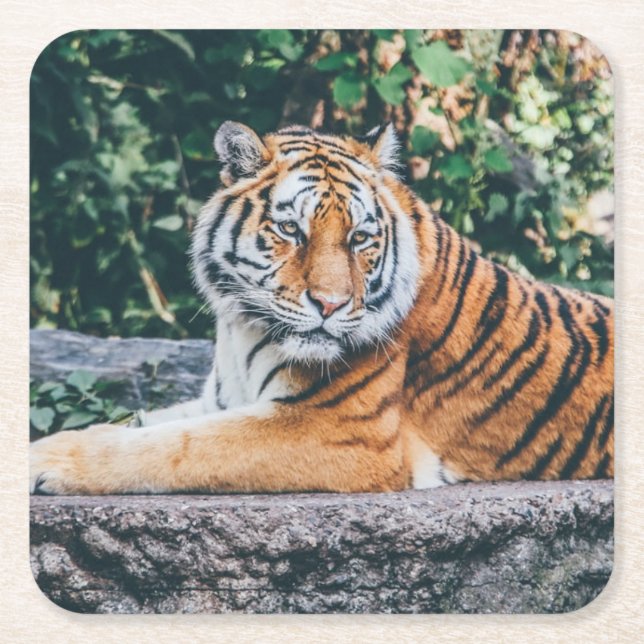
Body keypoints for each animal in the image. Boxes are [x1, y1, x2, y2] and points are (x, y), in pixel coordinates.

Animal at [29, 121, 614, 495]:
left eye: (360, 239)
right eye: (291, 230)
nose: (331, 305)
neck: (243, 329)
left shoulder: (338, 430)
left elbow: (175, 447)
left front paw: (46, 460)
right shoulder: (221, 401)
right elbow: (145, 425)